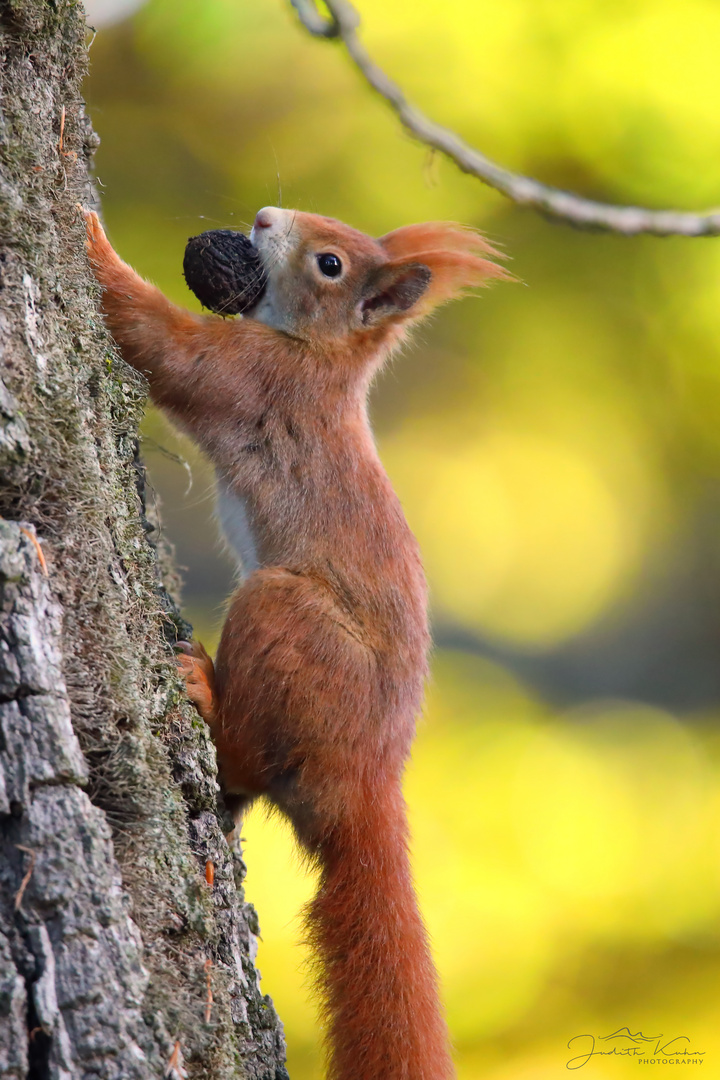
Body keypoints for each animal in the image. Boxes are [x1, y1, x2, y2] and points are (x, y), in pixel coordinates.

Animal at [83, 204, 507, 1080]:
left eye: (330, 263)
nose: (263, 217)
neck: (319, 360)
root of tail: (366, 782)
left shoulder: (249, 374)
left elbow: (161, 340)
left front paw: (91, 235)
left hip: (285, 621)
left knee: (242, 758)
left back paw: (204, 692)